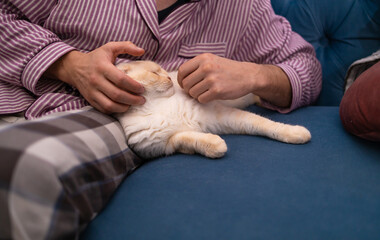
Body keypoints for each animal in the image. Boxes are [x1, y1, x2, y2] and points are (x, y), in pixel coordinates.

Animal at [116, 61, 312, 159]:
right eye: (155, 73)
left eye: (164, 71)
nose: (170, 79)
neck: (157, 106)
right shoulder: (164, 145)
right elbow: (189, 138)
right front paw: (214, 145)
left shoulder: (222, 115)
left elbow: (264, 124)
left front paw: (295, 132)